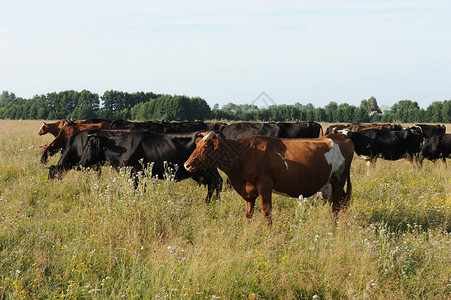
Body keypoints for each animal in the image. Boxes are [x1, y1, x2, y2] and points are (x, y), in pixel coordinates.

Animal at [78, 131, 224, 203]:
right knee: (215, 183)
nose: (81, 162)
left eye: (90, 145)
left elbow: (136, 190)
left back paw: (213, 202)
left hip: (207, 168)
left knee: (217, 182)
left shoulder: (135, 173)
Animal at [185, 132, 354, 224]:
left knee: (336, 207)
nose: (187, 164)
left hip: (339, 181)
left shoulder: (265, 186)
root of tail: (339, 136)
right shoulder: (248, 192)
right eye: (196, 144)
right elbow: (248, 214)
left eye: (206, 146)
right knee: (341, 204)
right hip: (331, 185)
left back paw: (333, 228)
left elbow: (267, 213)